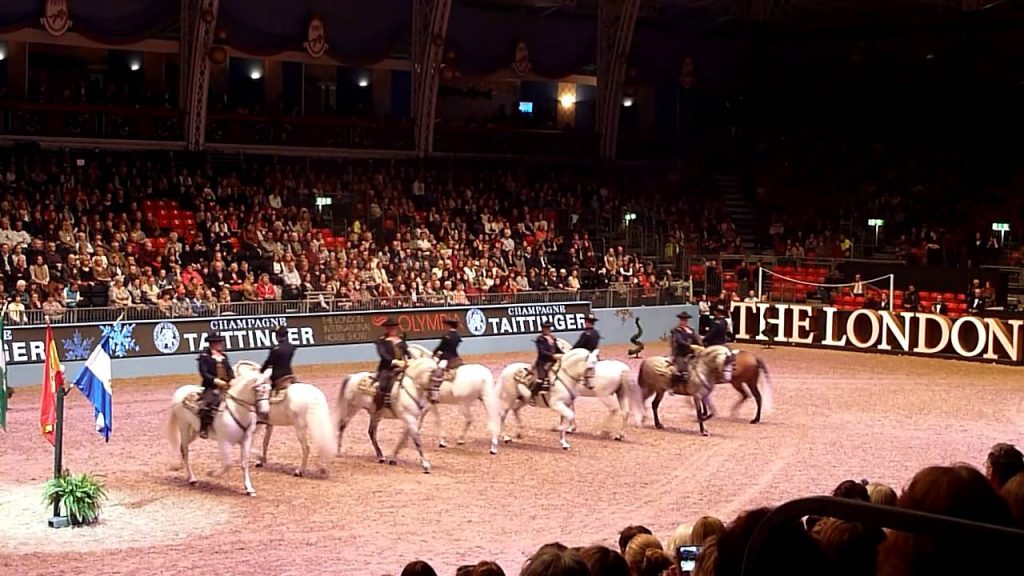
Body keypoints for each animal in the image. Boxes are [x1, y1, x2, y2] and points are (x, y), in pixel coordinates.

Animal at [161, 362, 272, 494]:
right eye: (258, 389)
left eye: (269, 389)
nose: (265, 413)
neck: (236, 410)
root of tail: (181, 390)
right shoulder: (224, 442)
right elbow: (228, 464)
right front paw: (212, 473)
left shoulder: (246, 440)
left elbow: (244, 462)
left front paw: (249, 488)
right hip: (184, 428)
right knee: (185, 450)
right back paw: (192, 479)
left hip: (194, 431)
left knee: (182, 448)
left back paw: (181, 468)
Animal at [634, 342, 770, 428]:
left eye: (732, 364)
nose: (727, 377)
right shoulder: (699, 394)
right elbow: (702, 407)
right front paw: (703, 418)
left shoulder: (702, 393)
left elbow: (705, 408)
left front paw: (703, 418)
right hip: (654, 389)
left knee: (753, 396)